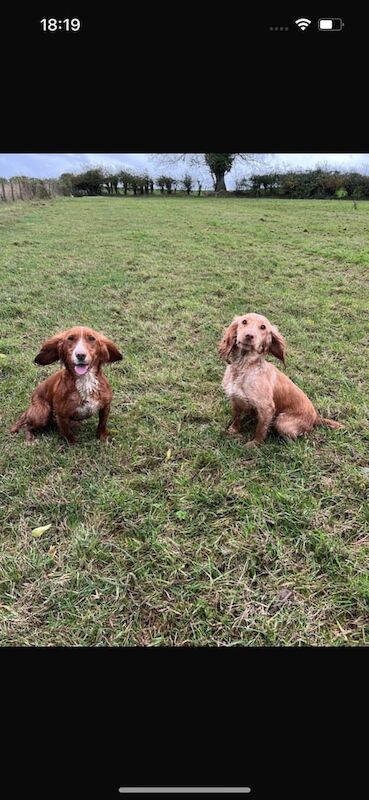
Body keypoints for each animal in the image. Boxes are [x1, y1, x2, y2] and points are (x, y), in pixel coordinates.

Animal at [218, 312, 342, 446]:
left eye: (263, 327)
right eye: (244, 322)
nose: (249, 336)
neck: (244, 367)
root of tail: (315, 418)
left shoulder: (266, 408)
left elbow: (260, 429)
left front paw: (254, 444)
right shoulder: (235, 398)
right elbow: (236, 417)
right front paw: (233, 430)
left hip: (282, 421)